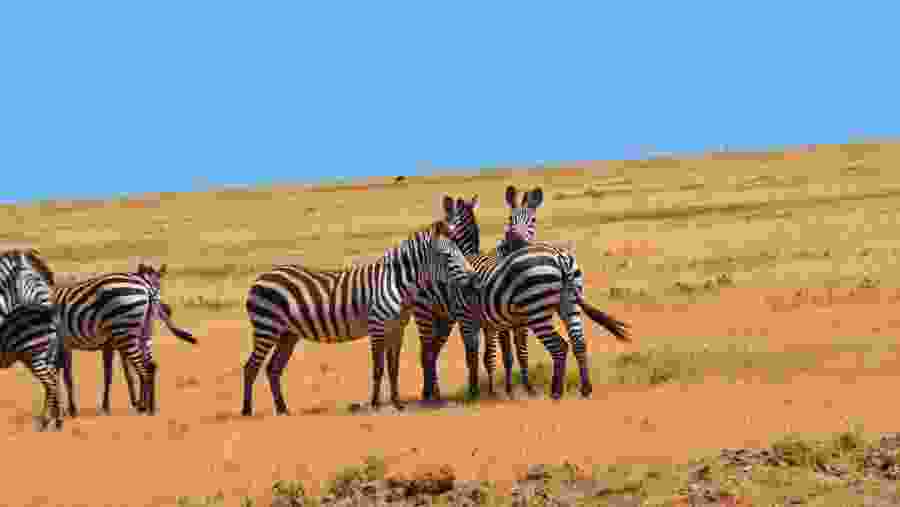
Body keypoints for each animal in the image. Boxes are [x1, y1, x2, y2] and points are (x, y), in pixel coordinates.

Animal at [0, 248, 62, 431]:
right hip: (41, 357)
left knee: (51, 382)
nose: (54, 316)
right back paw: (55, 419)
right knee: (53, 380)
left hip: (35, 357)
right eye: (41, 284)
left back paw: (46, 421)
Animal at [53, 262, 196, 417]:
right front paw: (109, 405)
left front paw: (71, 409)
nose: (167, 310)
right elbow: (114, 374)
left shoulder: (66, 344)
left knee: (144, 369)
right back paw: (150, 407)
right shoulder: (109, 345)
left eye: (160, 286)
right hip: (142, 336)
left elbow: (67, 375)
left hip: (129, 335)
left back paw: (144, 407)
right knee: (150, 366)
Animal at [242, 217, 479, 416]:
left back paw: (282, 409)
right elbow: (378, 368)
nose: (474, 280)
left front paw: (397, 404)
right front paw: (375, 404)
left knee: (273, 369)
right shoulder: (377, 327)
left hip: (287, 334)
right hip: (266, 327)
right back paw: (247, 410)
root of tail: (259, 279)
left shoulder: (397, 329)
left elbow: (393, 369)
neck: (396, 283)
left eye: (459, 252)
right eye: (447, 256)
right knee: (251, 367)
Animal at [413, 185, 544, 401]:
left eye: (533, 220)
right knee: (426, 353)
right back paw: (428, 393)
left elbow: (517, 353)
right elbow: (493, 356)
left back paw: (435, 393)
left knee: (433, 352)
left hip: (444, 320)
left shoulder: (512, 323)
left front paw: (526, 388)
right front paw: (495, 391)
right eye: (510, 219)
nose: (516, 243)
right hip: (425, 314)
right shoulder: (487, 323)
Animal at [443, 240, 631, 400]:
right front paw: (505, 390)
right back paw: (585, 389)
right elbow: (505, 355)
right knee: (578, 342)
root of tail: (560, 258)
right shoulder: (501, 324)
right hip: (569, 303)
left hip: (537, 311)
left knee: (559, 346)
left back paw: (556, 391)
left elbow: (474, 356)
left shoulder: (468, 320)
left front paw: (476, 392)